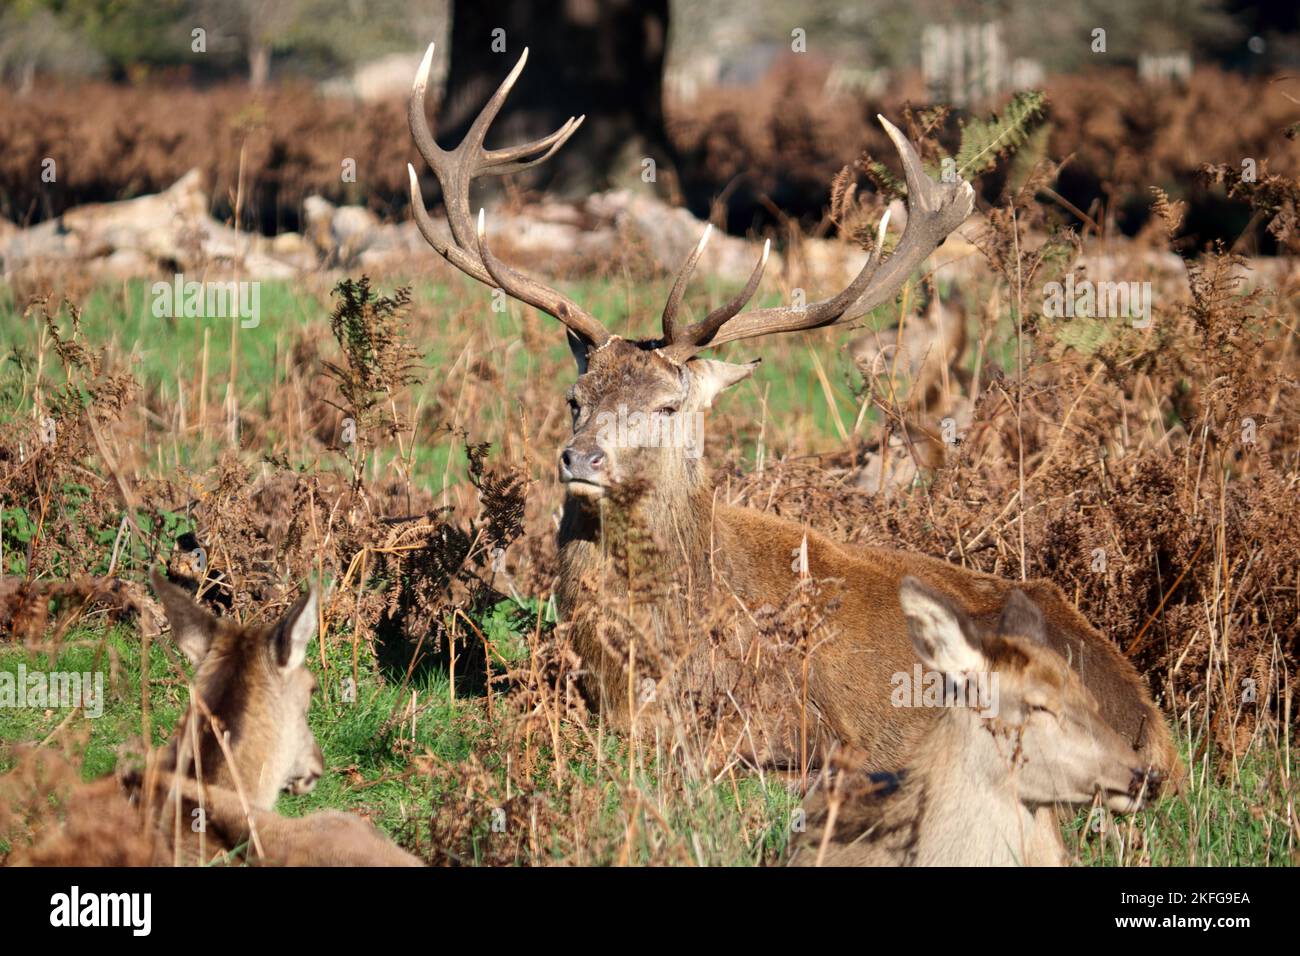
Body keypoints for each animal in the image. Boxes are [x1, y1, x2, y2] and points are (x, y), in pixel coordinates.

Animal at [404, 44, 1182, 798]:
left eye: (668, 406)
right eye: (576, 395)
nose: (581, 458)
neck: (648, 668)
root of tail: (1152, 727)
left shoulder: (797, 717)